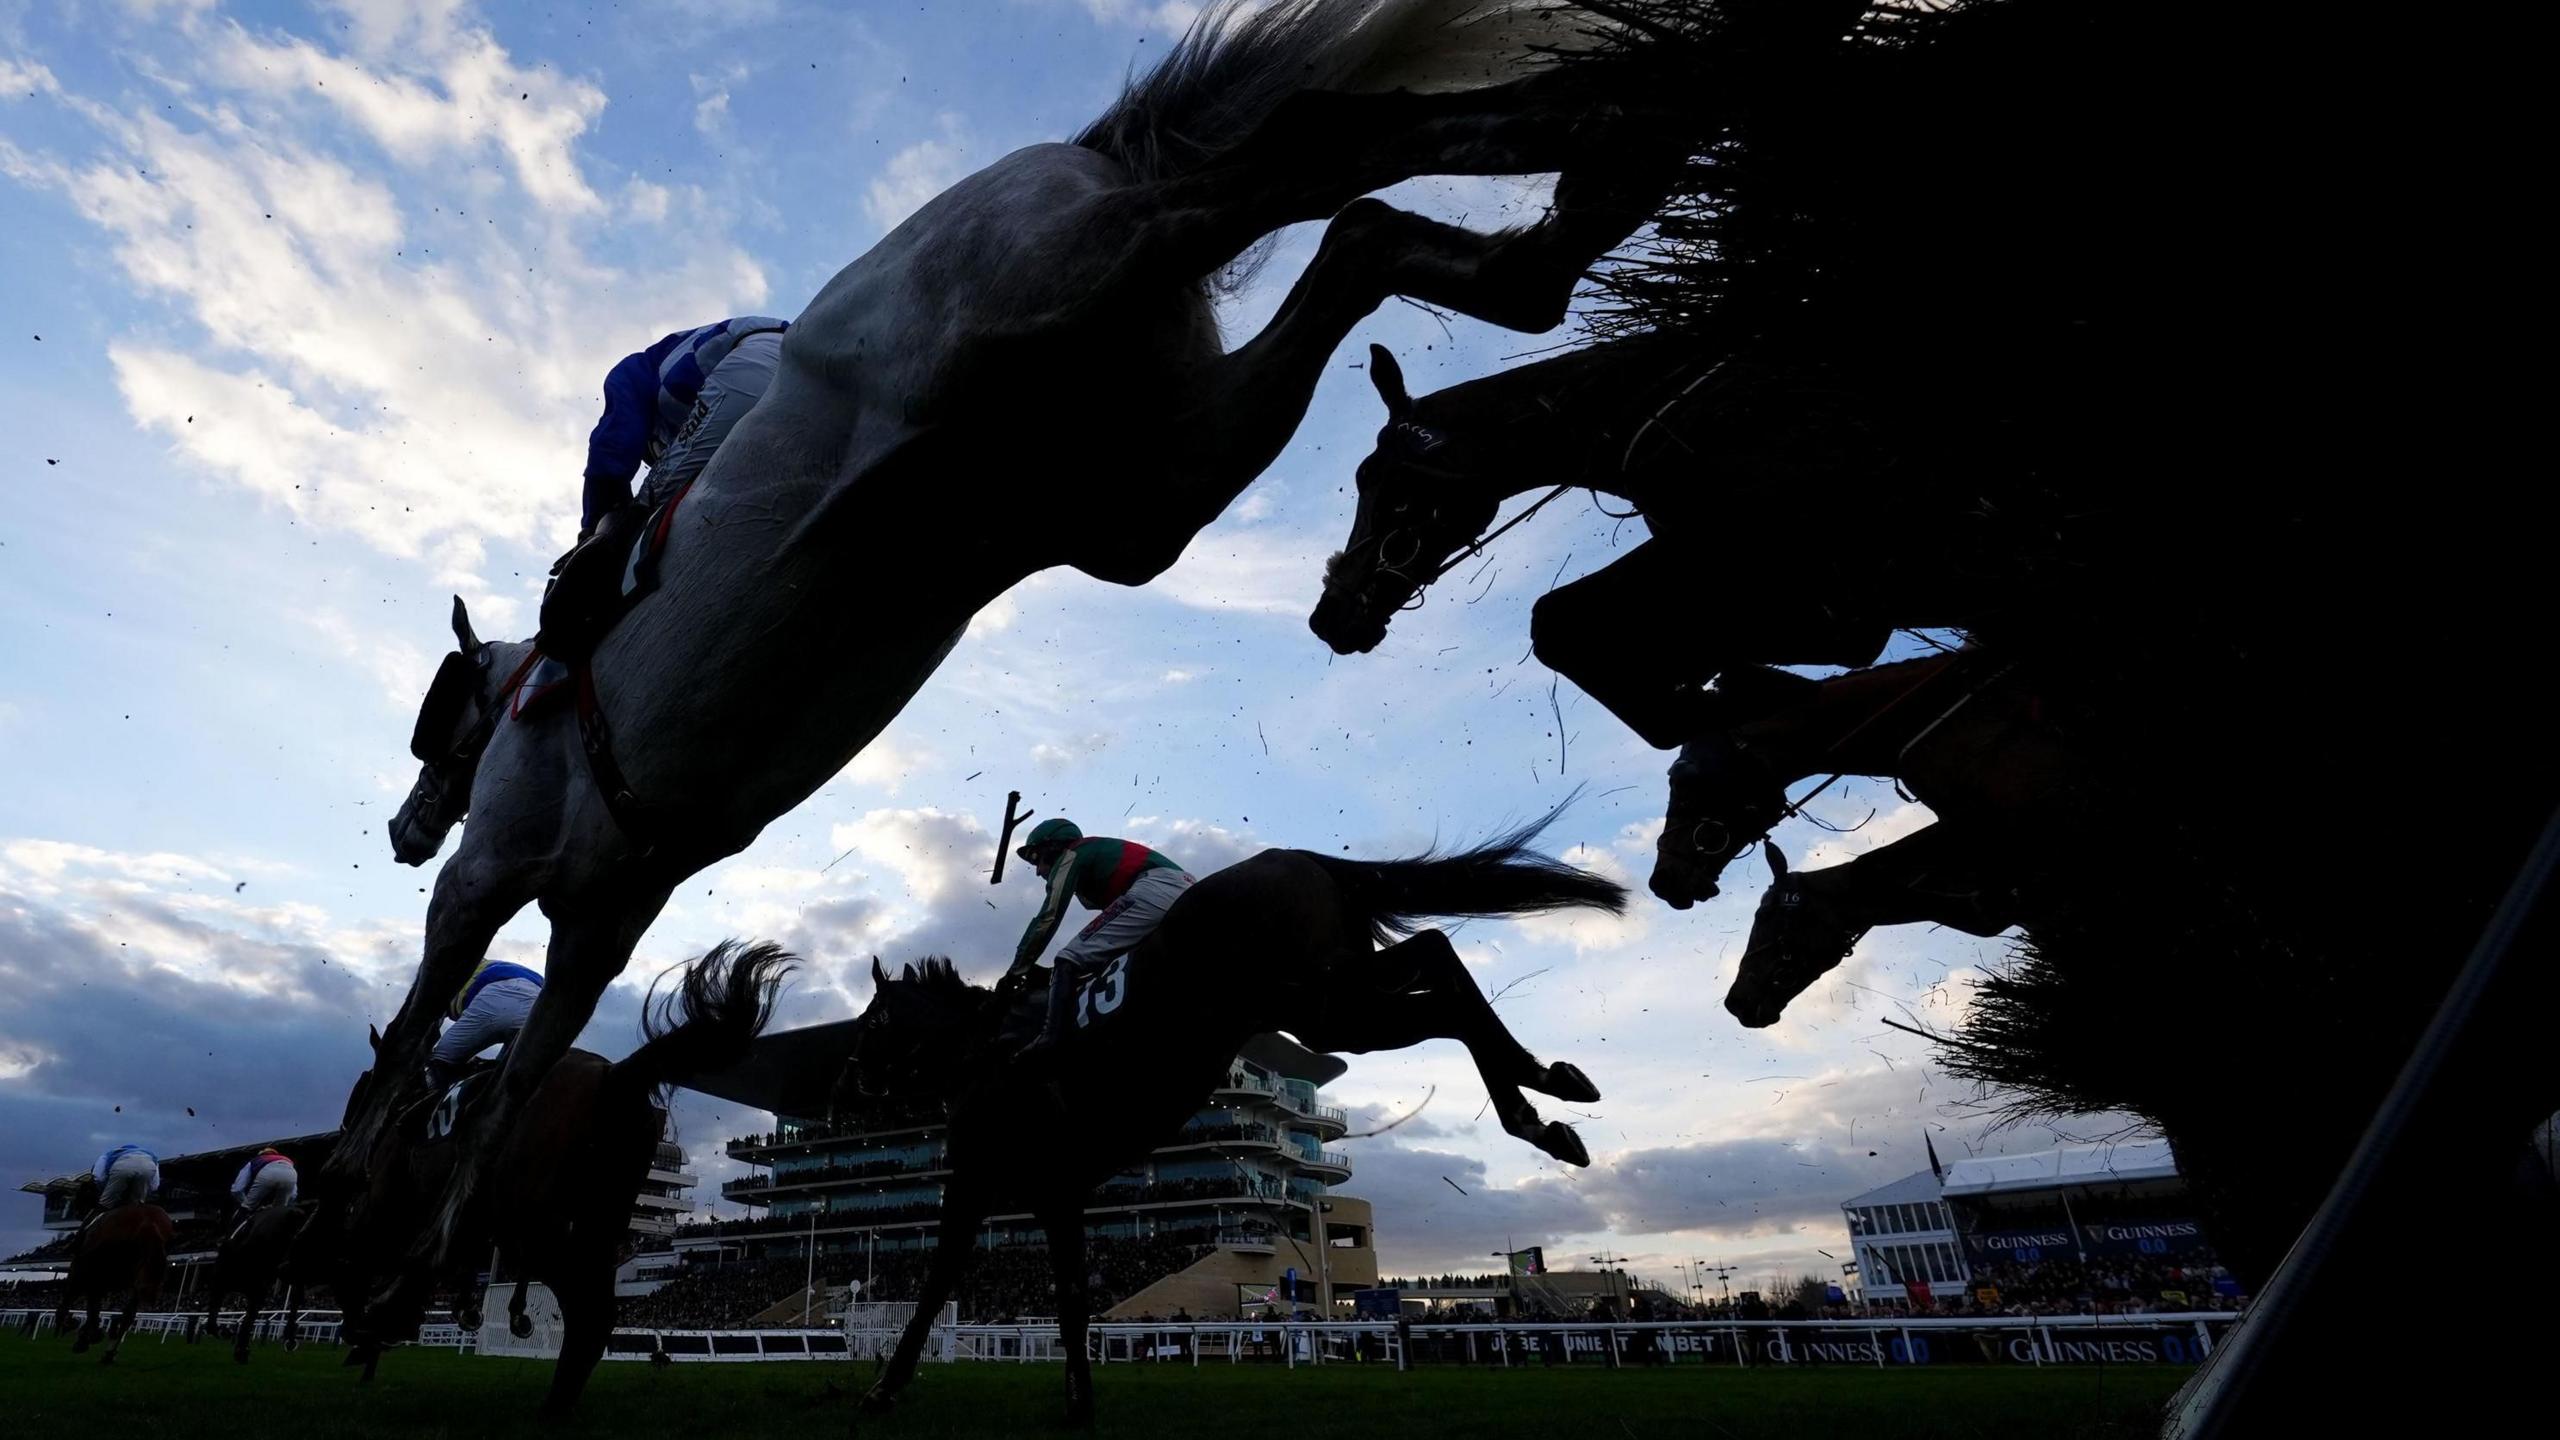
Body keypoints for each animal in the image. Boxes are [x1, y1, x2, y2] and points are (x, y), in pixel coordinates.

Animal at [54, 1199, 174, 1352]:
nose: (76, 1211)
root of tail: (149, 1221)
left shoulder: (87, 1273)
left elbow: (80, 1300)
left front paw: (79, 1331)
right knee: (128, 1314)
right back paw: (110, 1350)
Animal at [332, 937, 788, 1404]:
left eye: (361, 1087)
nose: (346, 1131)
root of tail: (616, 1075)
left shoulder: (384, 1205)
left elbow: (356, 1262)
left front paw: (367, 1329)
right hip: (597, 1220)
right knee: (595, 1314)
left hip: (536, 1227)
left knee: (587, 1312)